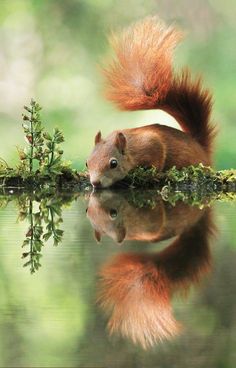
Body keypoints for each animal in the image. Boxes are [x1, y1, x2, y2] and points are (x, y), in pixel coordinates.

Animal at [86, 15, 216, 188]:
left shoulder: (152, 144)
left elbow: (157, 161)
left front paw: (154, 174)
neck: (130, 147)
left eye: (113, 163)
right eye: (87, 162)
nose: (95, 183)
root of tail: (200, 147)